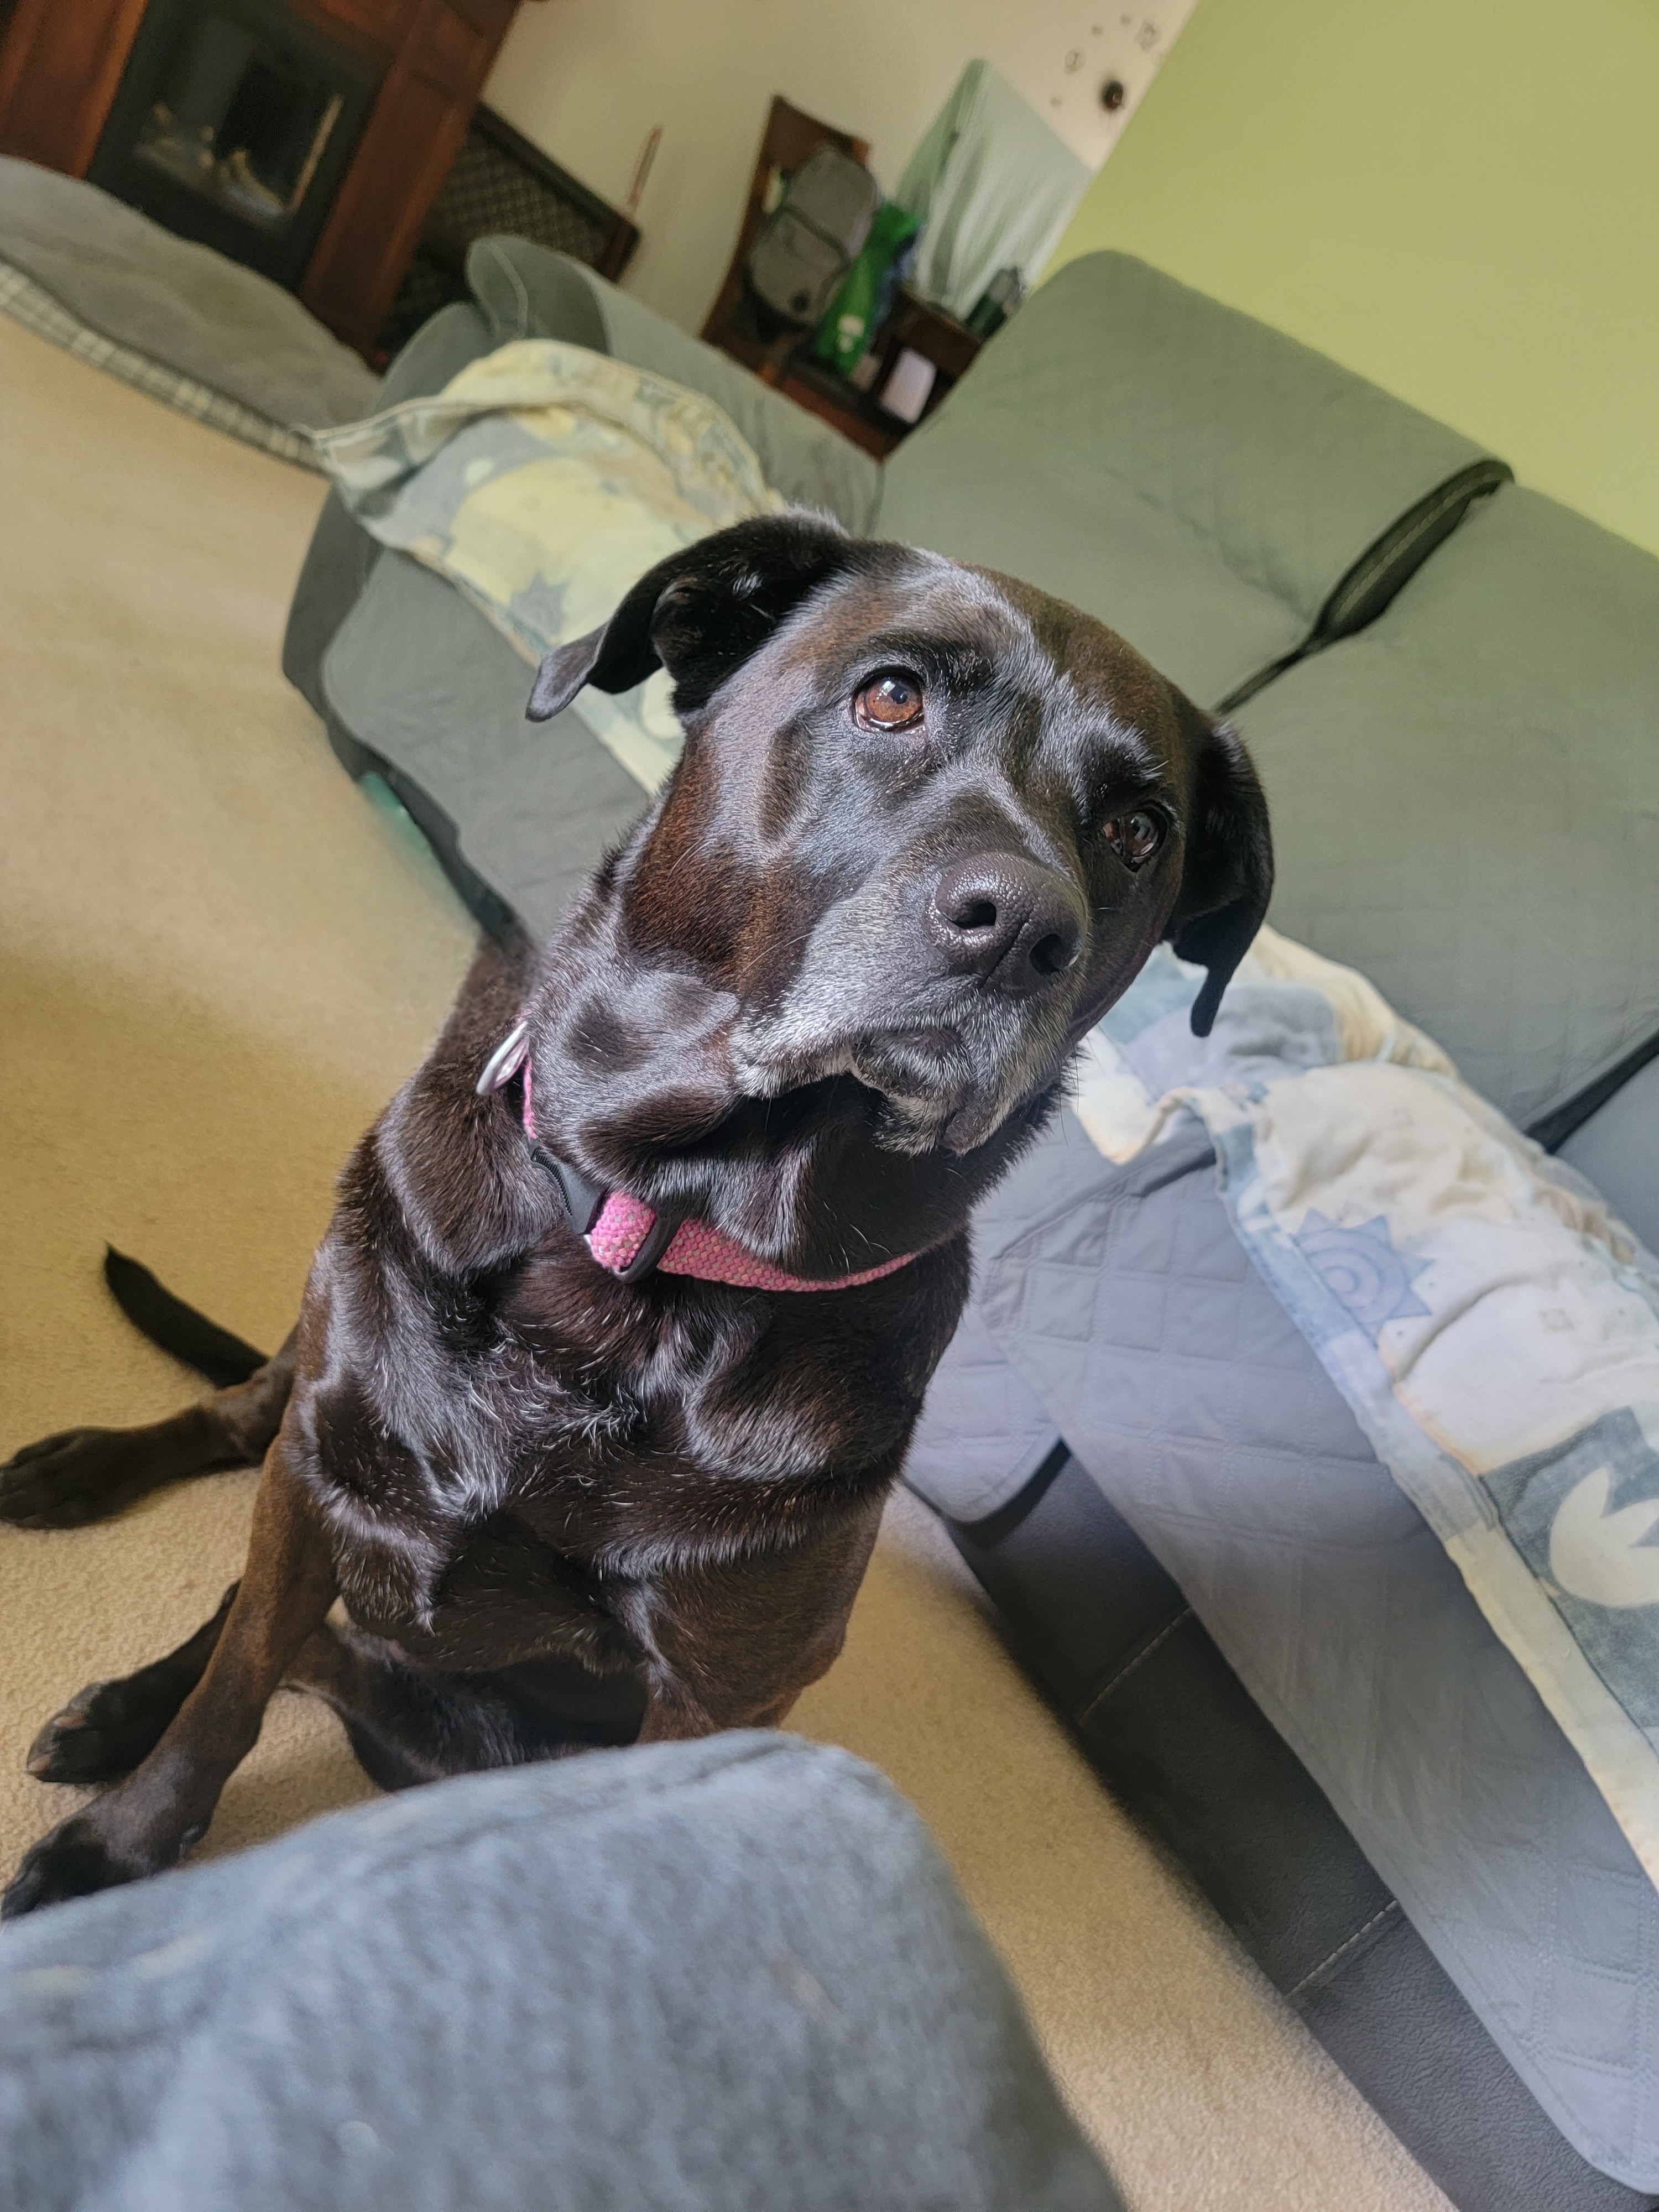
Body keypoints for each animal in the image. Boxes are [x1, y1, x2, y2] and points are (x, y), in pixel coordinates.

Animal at [0, 513, 1270, 1918]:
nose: (1025, 931)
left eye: (1139, 831)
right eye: (892, 696)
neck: (640, 1236)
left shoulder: (716, 1687)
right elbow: (230, 1689)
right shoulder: (326, 1463)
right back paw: (88, 1501)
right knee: (240, 1442)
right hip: (317, 1383)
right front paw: (122, 1842)